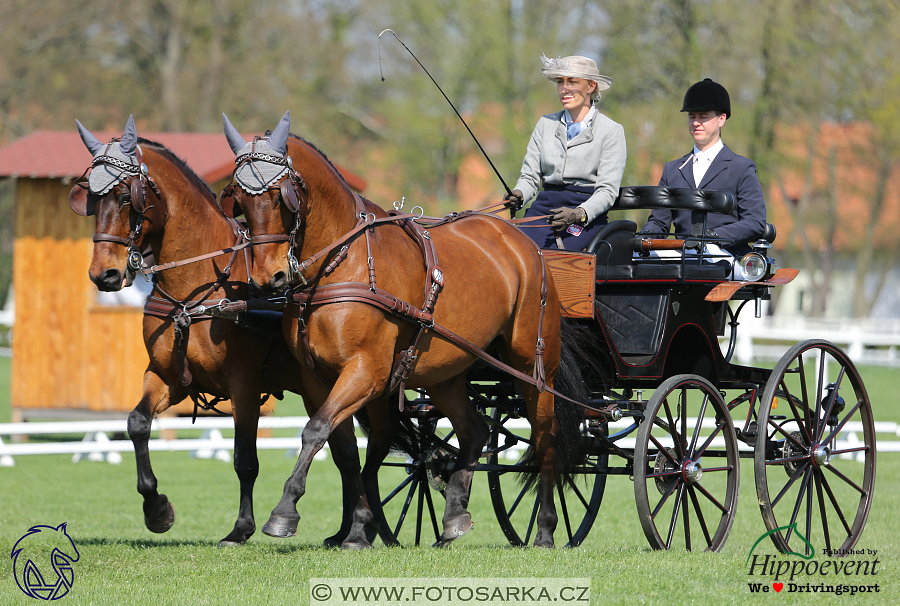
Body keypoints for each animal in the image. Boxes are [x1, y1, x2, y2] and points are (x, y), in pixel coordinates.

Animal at [69, 119, 372, 552]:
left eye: (127, 196)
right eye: (91, 199)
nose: (104, 275)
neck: (197, 289)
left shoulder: (243, 384)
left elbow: (245, 459)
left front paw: (241, 528)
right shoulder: (167, 376)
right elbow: (137, 423)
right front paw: (156, 508)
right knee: (344, 452)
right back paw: (349, 530)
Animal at [220, 111, 584, 548]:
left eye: (280, 197)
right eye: (239, 202)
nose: (267, 278)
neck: (341, 264)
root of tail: (525, 243)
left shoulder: (366, 372)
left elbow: (315, 429)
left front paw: (285, 512)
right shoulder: (317, 378)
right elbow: (342, 449)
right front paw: (357, 528)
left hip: (532, 365)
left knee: (545, 438)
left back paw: (545, 527)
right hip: (445, 372)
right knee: (474, 430)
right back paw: (454, 518)